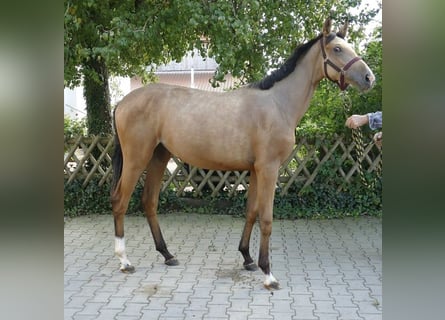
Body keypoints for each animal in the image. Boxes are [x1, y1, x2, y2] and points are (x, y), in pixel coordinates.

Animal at [109, 16, 372, 288]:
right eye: (337, 49)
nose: (368, 78)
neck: (278, 103)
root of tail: (123, 102)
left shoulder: (256, 170)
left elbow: (251, 212)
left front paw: (247, 258)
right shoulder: (269, 169)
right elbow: (266, 218)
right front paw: (268, 273)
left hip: (159, 156)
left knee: (149, 201)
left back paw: (167, 254)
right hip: (136, 159)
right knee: (120, 201)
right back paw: (124, 261)